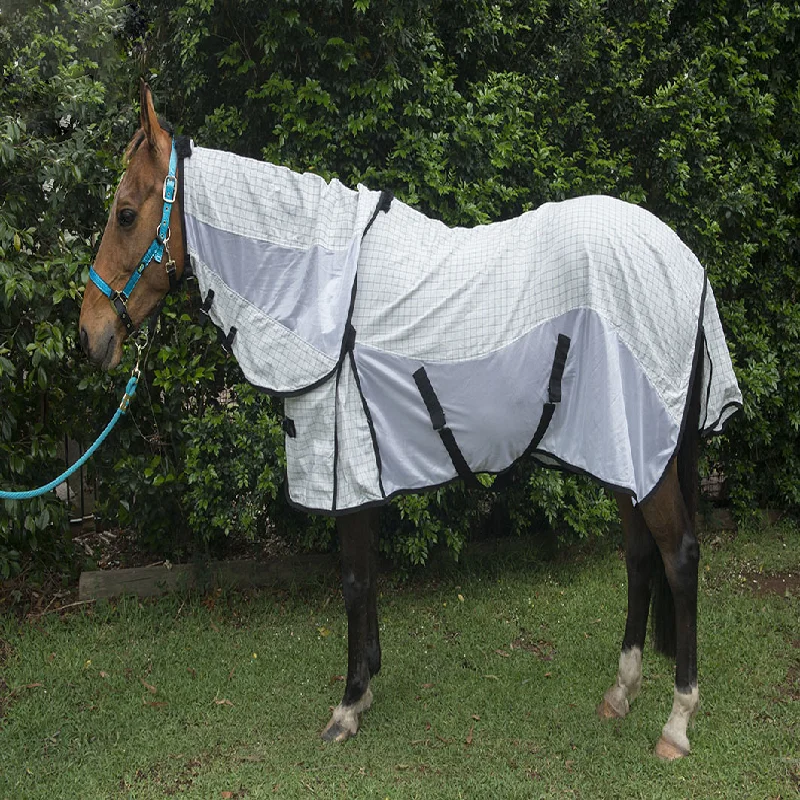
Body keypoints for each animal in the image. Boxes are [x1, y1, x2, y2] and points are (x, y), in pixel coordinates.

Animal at [79, 83, 741, 759]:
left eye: (125, 214)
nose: (89, 335)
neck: (324, 291)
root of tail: (685, 262)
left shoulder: (343, 463)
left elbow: (352, 579)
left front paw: (348, 704)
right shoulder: (360, 468)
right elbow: (367, 576)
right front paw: (367, 681)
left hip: (644, 452)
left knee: (679, 557)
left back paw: (676, 721)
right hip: (625, 450)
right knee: (639, 556)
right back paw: (620, 693)